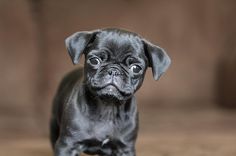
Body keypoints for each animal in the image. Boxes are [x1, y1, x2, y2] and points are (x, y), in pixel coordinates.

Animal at [50, 28, 171, 156]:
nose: (114, 70)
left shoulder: (125, 148)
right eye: (94, 61)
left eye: (136, 68)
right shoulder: (67, 145)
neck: (108, 107)